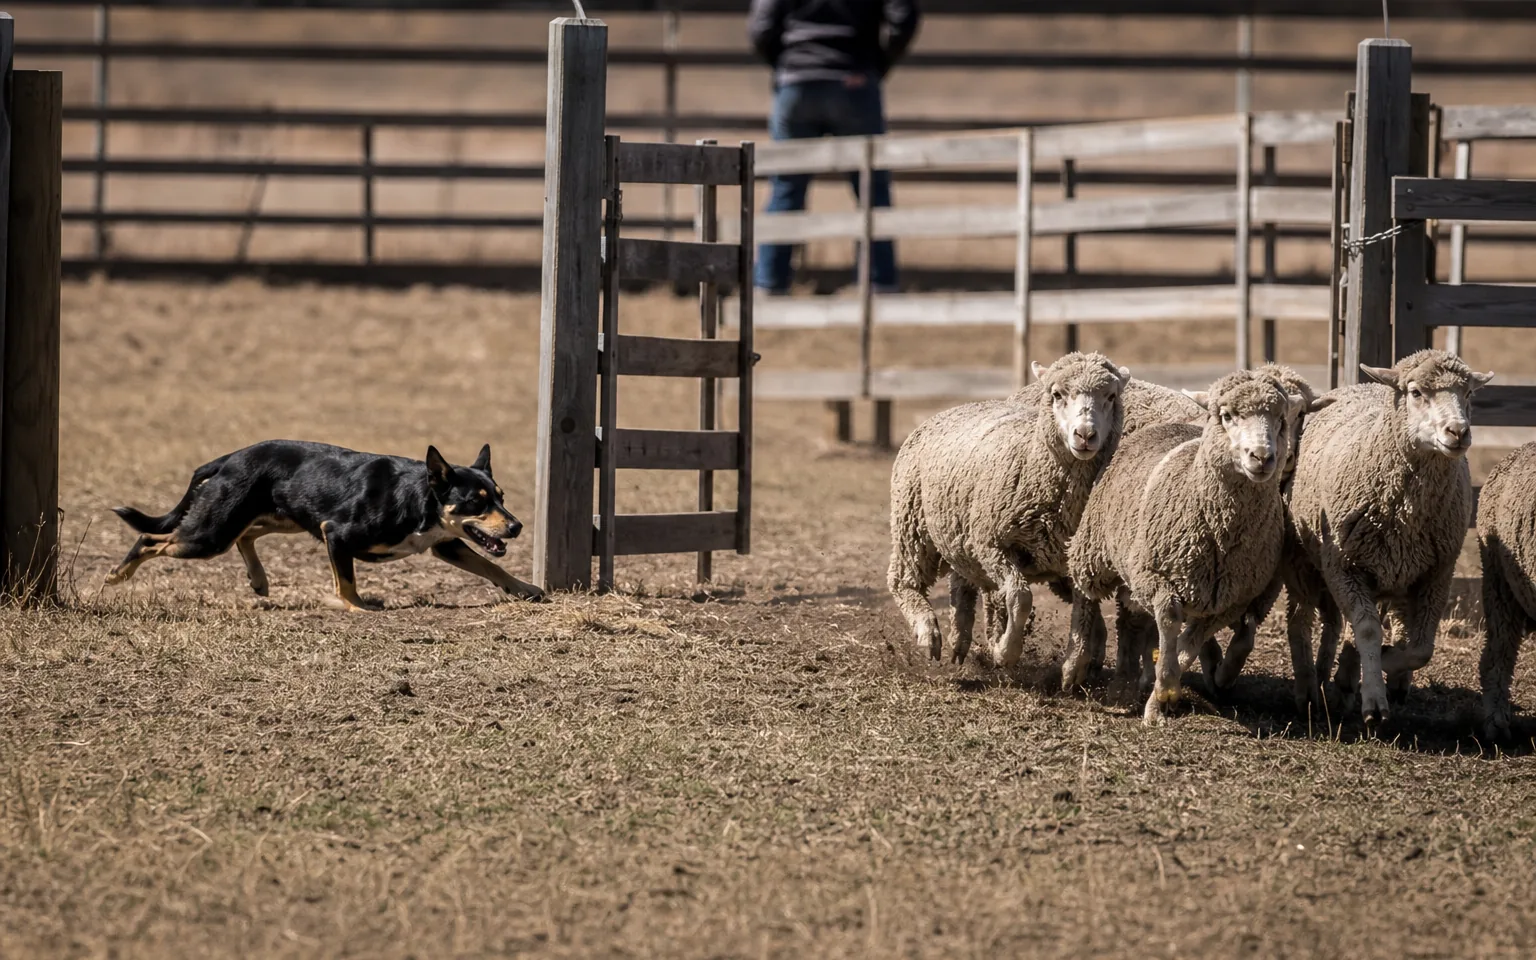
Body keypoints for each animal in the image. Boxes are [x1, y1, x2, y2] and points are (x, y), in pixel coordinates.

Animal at [887, 352, 1129, 668]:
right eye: (1057, 394)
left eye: (1111, 396)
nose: (1085, 434)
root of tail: (954, 408)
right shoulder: (991, 544)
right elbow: (1020, 597)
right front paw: (1006, 651)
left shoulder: (1079, 557)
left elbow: (1085, 608)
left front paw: (1074, 665)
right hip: (913, 524)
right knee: (903, 581)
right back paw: (928, 632)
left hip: (959, 534)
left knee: (962, 580)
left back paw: (959, 640)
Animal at [1068, 370, 1302, 724]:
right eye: (1226, 416)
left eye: (1281, 420)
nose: (1262, 457)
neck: (1221, 532)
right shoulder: (1156, 577)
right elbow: (1168, 626)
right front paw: (1161, 696)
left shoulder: (1230, 601)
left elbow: (1188, 646)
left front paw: (1161, 695)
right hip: (1094, 549)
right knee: (1085, 594)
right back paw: (1075, 664)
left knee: (1132, 617)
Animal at [1284, 350, 1493, 729]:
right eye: (1415, 392)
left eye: (1468, 393)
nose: (1458, 432)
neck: (1407, 511)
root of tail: (1362, 384)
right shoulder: (1344, 566)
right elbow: (1368, 630)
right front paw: (1372, 697)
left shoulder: (1436, 576)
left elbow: (1420, 649)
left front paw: (1377, 668)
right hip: (1304, 558)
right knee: (1302, 618)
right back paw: (1308, 688)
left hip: (1396, 573)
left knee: (1382, 626)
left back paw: (1367, 678)